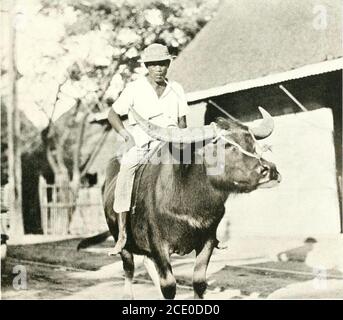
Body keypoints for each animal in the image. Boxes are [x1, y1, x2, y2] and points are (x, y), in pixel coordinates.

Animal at [78, 107, 282, 300]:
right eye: (225, 145)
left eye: (253, 144)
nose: (270, 170)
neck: (189, 203)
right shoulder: (158, 245)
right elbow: (169, 286)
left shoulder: (207, 241)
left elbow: (199, 282)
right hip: (121, 241)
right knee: (129, 269)